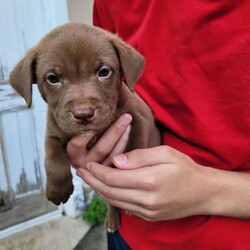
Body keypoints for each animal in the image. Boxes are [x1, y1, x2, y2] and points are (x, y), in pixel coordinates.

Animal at [8, 23, 160, 230]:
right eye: (53, 78)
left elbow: (135, 148)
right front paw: (57, 189)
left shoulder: (141, 117)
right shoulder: (53, 132)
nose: (83, 114)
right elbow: (52, 159)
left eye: (103, 72)